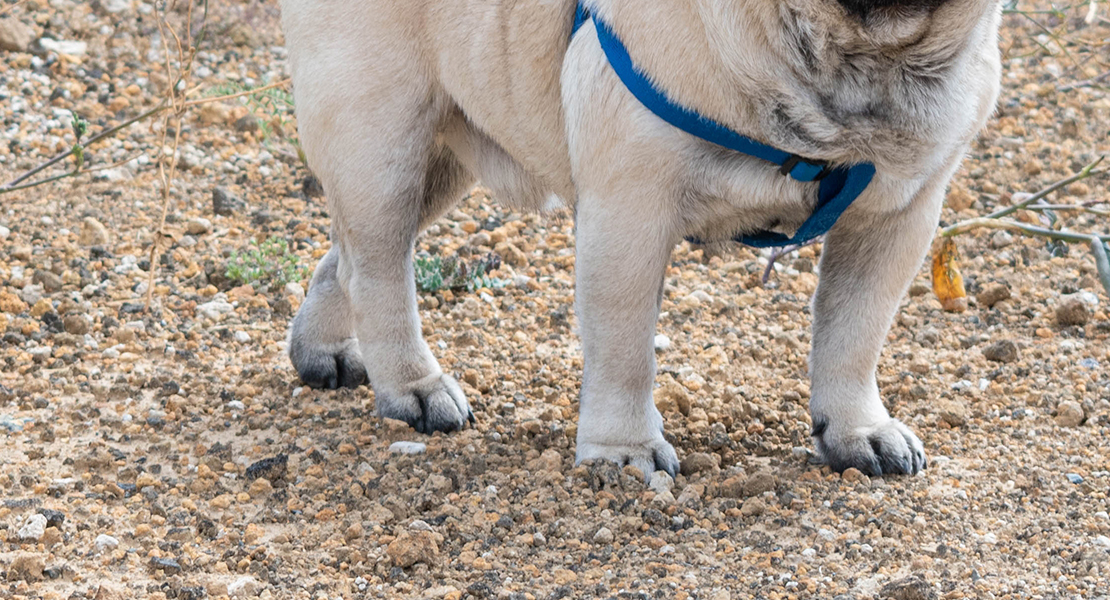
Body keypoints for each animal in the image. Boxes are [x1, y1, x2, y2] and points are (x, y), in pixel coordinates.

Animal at [279, 0, 1007, 476]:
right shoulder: (631, 210)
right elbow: (625, 351)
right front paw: (622, 453)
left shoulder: (898, 217)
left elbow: (853, 337)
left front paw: (856, 430)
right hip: (382, 136)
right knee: (379, 265)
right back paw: (413, 387)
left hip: (438, 160)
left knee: (346, 260)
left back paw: (327, 352)